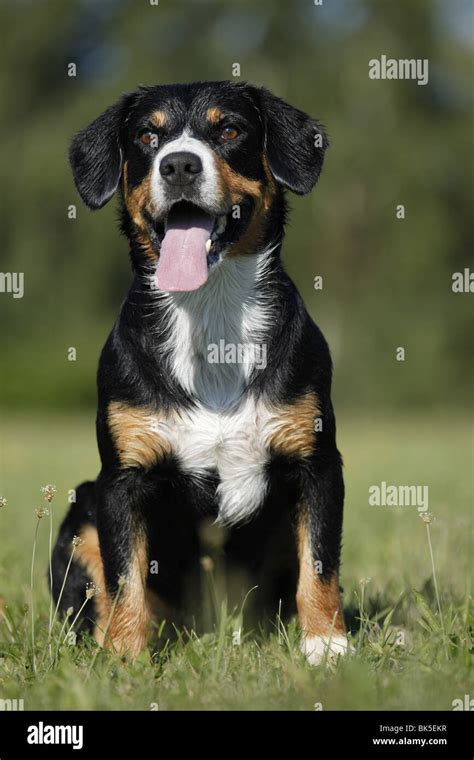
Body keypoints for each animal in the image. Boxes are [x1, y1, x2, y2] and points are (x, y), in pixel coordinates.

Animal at [51, 81, 348, 664]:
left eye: (229, 129)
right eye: (148, 136)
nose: (180, 165)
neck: (210, 317)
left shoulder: (318, 464)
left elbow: (319, 565)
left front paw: (326, 645)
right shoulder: (121, 481)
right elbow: (126, 577)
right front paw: (125, 658)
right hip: (82, 510)